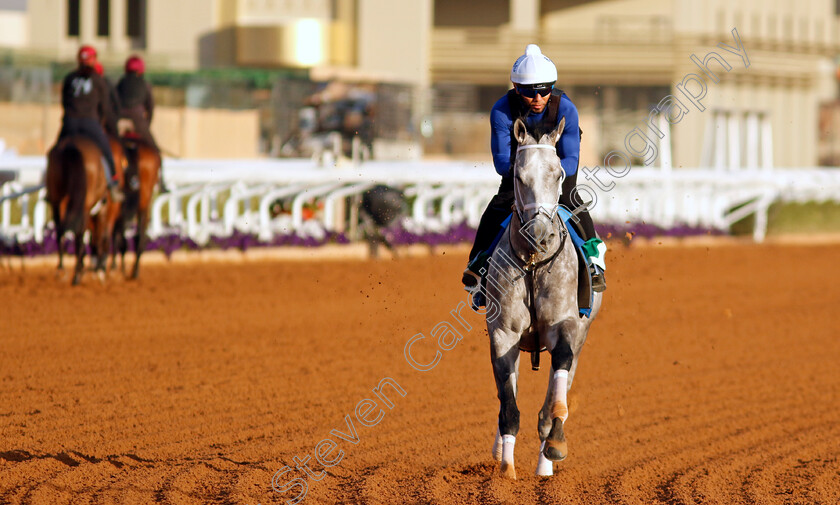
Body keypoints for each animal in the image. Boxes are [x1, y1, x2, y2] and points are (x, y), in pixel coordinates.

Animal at [45, 136, 113, 284]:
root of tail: (71, 145)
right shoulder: (103, 208)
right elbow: (100, 235)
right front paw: (98, 270)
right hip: (86, 205)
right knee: (82, 232)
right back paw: (78, 273)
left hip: (57, 199)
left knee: (60, 230)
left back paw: (62, 269)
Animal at [482, 116, 600, 478]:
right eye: (520, 177)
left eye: (559, 173)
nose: (538, 234)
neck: (534, 264)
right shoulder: (502, 333)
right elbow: (508, 404)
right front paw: (506, 469)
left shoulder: (565, 325)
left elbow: (557, 383)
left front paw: (554, 442)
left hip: (582, 335)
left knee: (561, 383)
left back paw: (545, 464)